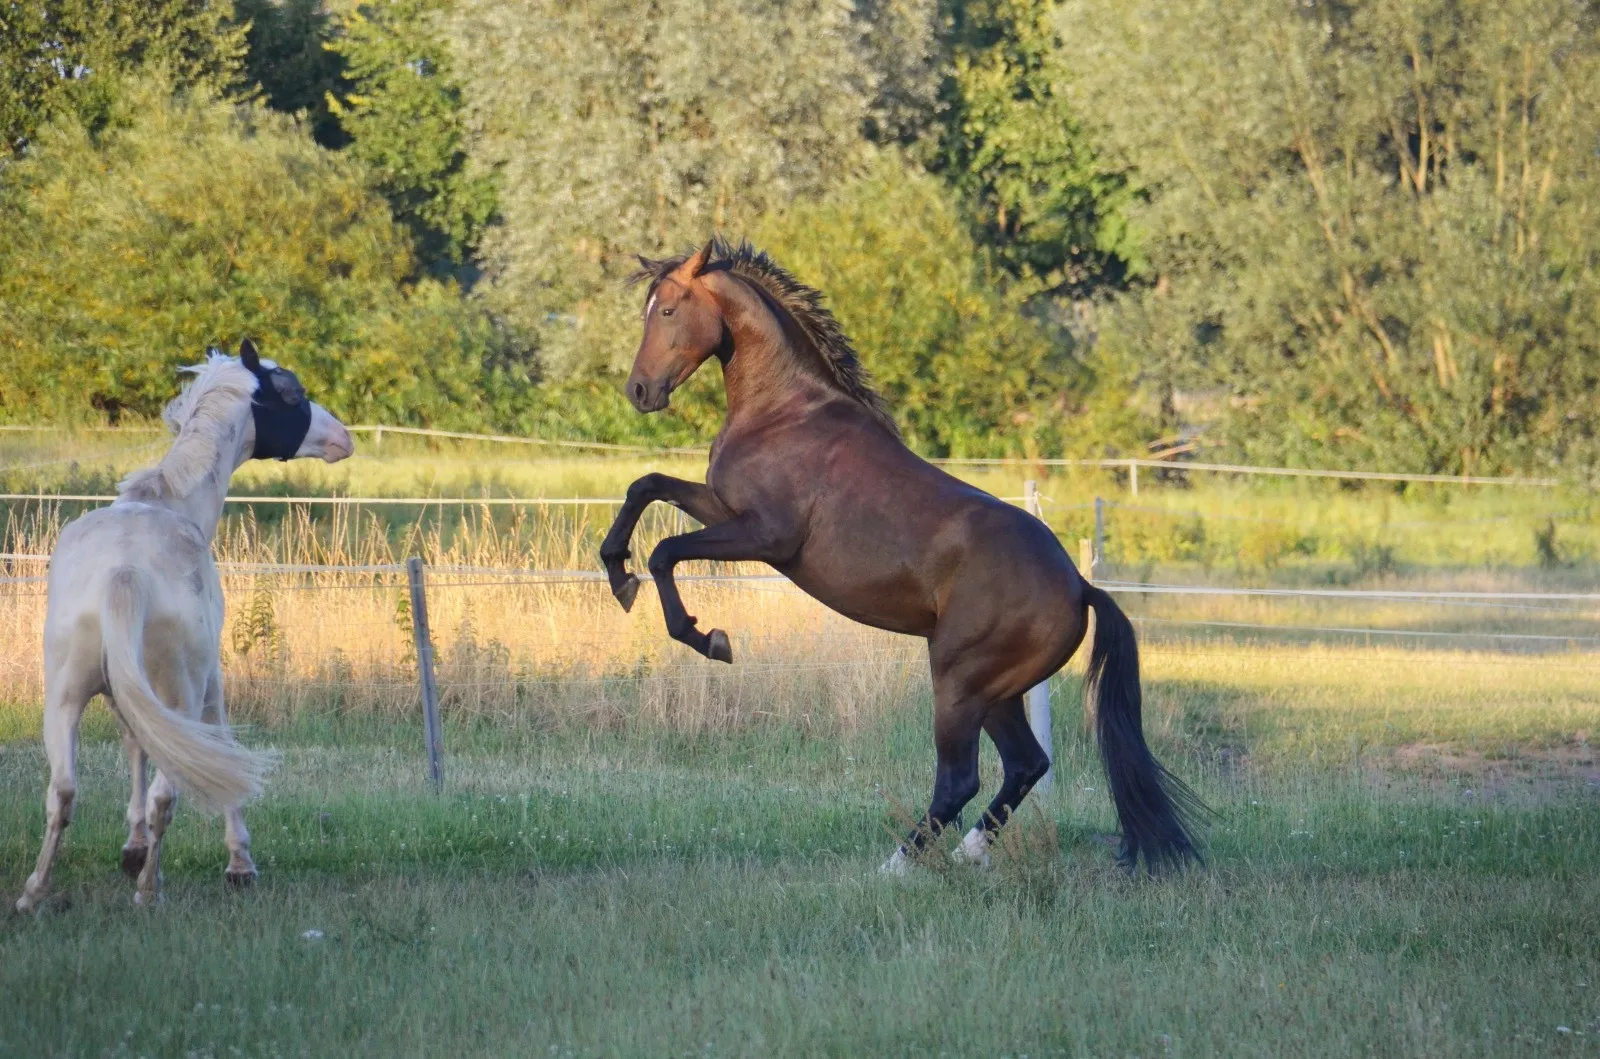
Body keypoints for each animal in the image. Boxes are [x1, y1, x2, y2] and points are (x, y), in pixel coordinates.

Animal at [15, 340, 353, 912]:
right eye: (292, 393)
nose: (342, 437)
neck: (166, 501)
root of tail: (124, 571)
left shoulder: (123, 692)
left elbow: (136, 743)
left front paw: (131, 848)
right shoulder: (209, 682)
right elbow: (218, 744)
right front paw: (239, 862)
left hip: (62, 701)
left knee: (62, 792)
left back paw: (35, 892)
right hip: (180, 691)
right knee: (164, 794)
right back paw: (149, 891)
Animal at [599, 238, 1205, 874]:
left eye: (668, 310)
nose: (639, 392)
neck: (785, 412)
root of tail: (1080, 589)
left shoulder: (765, 536)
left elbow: (664, 552)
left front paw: (706, 636)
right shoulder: (720, 506)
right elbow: (646, 486)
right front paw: (618, 574)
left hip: (960, 682)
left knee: (961, 778)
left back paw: (897, 866)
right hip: (997, 694)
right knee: (1024, 765)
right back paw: (967, 853)